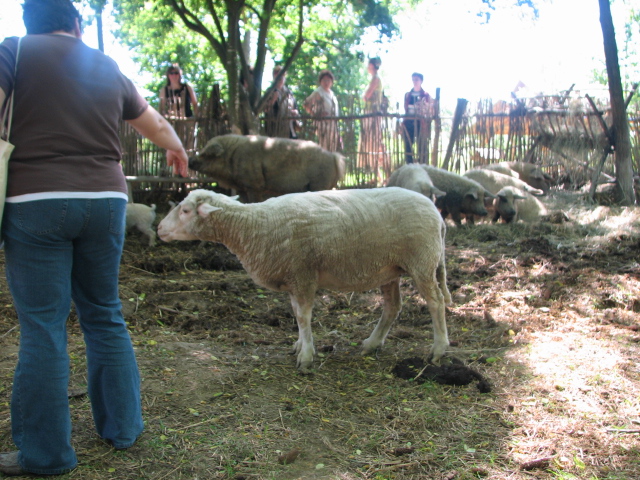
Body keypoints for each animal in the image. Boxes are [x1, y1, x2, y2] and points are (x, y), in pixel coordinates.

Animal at [157, 187, 452, 372]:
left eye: (185, 211)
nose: (159, 229)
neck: (254, 225)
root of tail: (437, 214)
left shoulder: (302, 274)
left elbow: (303, 315)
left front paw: (307, 357)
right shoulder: (292, 277)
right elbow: (295, 313)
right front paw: (299, 346)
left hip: (422, 261)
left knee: (436, 303)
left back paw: (438, 350)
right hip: (389, 268)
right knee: (392, 306)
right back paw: (371, 344)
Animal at [188, 134, 346, 203]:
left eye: (207, 154)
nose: (190, 160)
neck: (231, 157)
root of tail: (334, 156)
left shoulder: (254, 185)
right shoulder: (242, 188)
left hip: (319, 183)